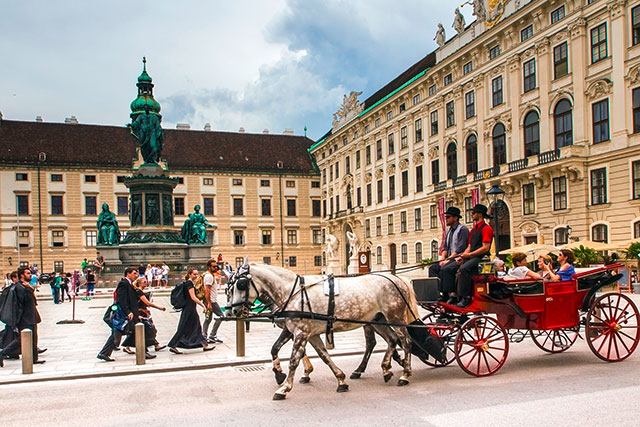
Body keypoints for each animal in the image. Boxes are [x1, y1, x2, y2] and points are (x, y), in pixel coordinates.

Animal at [226, 260, 420, 402]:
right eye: (229, 287)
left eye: (240, 284)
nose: (231, 311)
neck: (293, 292)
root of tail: (397, 278)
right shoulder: (305, 333)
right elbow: (321, 355)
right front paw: (340, 379)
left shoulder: (301, 333)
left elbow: (294, 361)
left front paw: (285, 387)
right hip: (377, 320)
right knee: (391, 340)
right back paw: (385, 369)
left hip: (394, 318)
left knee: (405, 342)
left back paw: (405, 374)